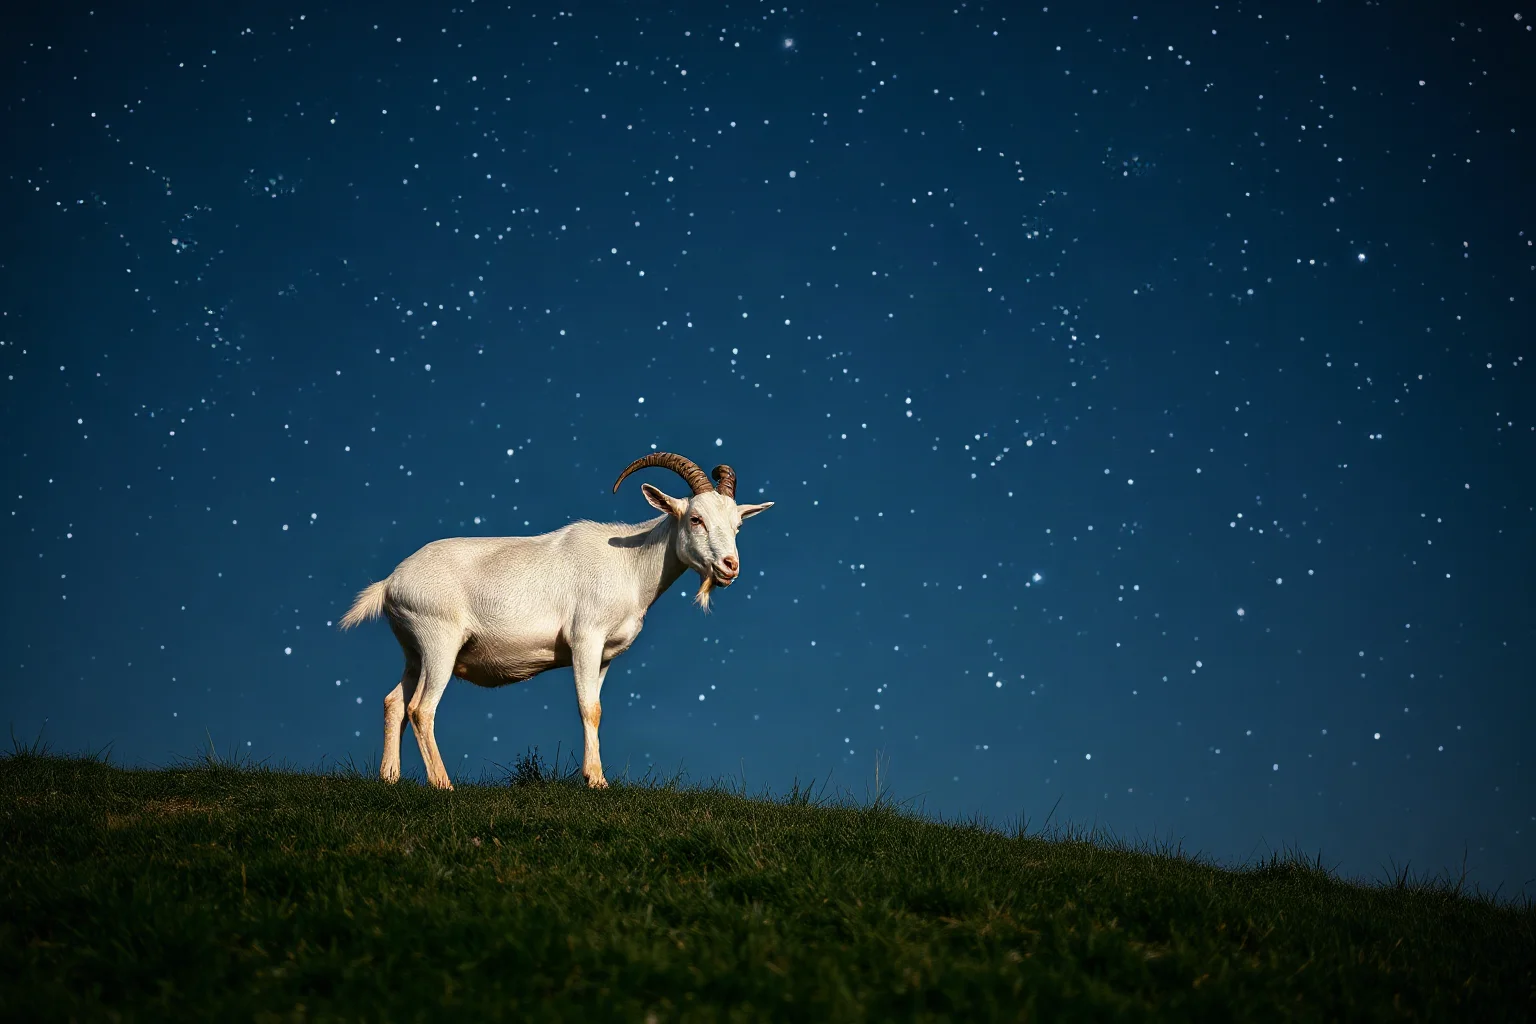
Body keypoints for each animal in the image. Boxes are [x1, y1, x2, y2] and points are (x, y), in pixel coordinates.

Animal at [338, 452, 774, 790]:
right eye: (695, 518)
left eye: (737, 525)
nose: (730, 567)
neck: (628, 563)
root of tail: (392, 582)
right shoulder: (585, 639)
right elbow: (588, 707)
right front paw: (597, 781)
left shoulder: (604, 656)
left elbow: (596, 706)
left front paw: (592, 775)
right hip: (439, 643)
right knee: (421, 709)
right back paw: (442, 784)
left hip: (414, 652)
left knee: (394, 701)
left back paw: (389, 778)